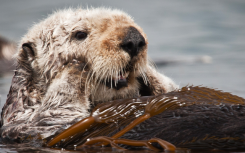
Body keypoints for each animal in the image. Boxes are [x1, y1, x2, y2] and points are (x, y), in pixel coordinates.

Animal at [0, 7, 177, 141]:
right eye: (80, 34)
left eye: (131, 23)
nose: (134, 39)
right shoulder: (28, 125)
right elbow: (53, 114)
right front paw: (75, 67)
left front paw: (149, 74)